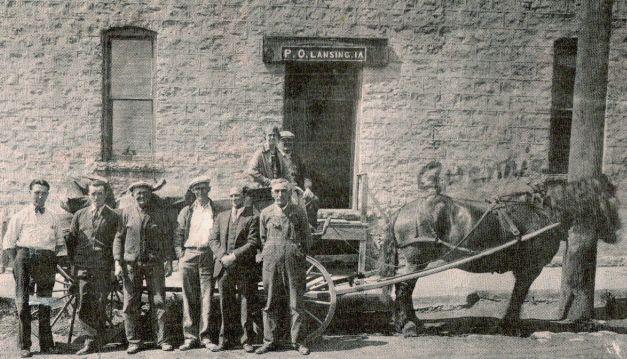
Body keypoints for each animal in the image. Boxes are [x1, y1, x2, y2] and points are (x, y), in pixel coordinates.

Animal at [380, 163, 620, 338]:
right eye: (610, 200)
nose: (617, 231)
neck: (546, 213)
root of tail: (402, 210)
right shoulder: (530, 268)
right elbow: (518, 295)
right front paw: (509, 325)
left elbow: (517, 295)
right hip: (417, 259)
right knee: (404, 288)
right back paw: (408, 325)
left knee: (405, 288)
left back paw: (411, 322)